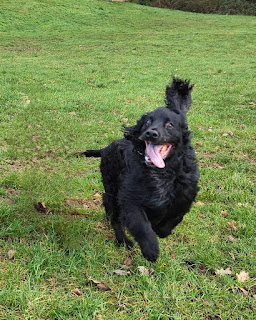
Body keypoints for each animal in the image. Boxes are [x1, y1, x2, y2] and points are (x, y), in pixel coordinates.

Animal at [79, 79, 198, 262]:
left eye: (170, 125)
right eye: (148, 122)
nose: (151, 133)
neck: (162, 174)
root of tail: (106, 148)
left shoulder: (185, 196)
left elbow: (173, 218)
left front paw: (160, 230)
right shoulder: (130, 198)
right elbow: (141, 225)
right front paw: (151, 249)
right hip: (112, 190)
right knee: (114, 216)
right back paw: (124, 241)